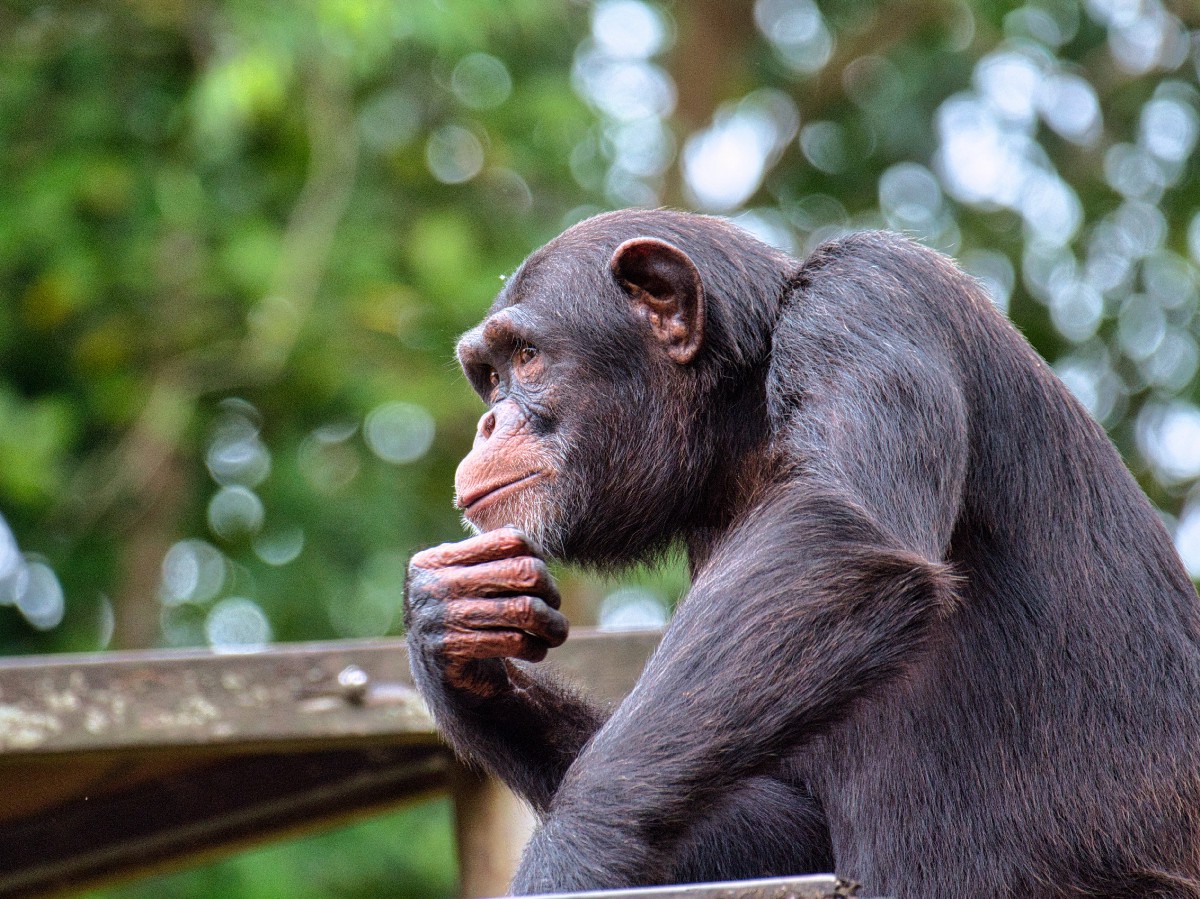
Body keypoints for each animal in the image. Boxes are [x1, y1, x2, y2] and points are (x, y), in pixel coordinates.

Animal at [403, 210, 1200, 897]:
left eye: (527, 357)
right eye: (489, 375)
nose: (488, 420)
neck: (744, 405)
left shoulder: (871, 295)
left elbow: (837, 533)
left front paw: (573, 851)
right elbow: (789, 835)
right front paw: (450, 630)